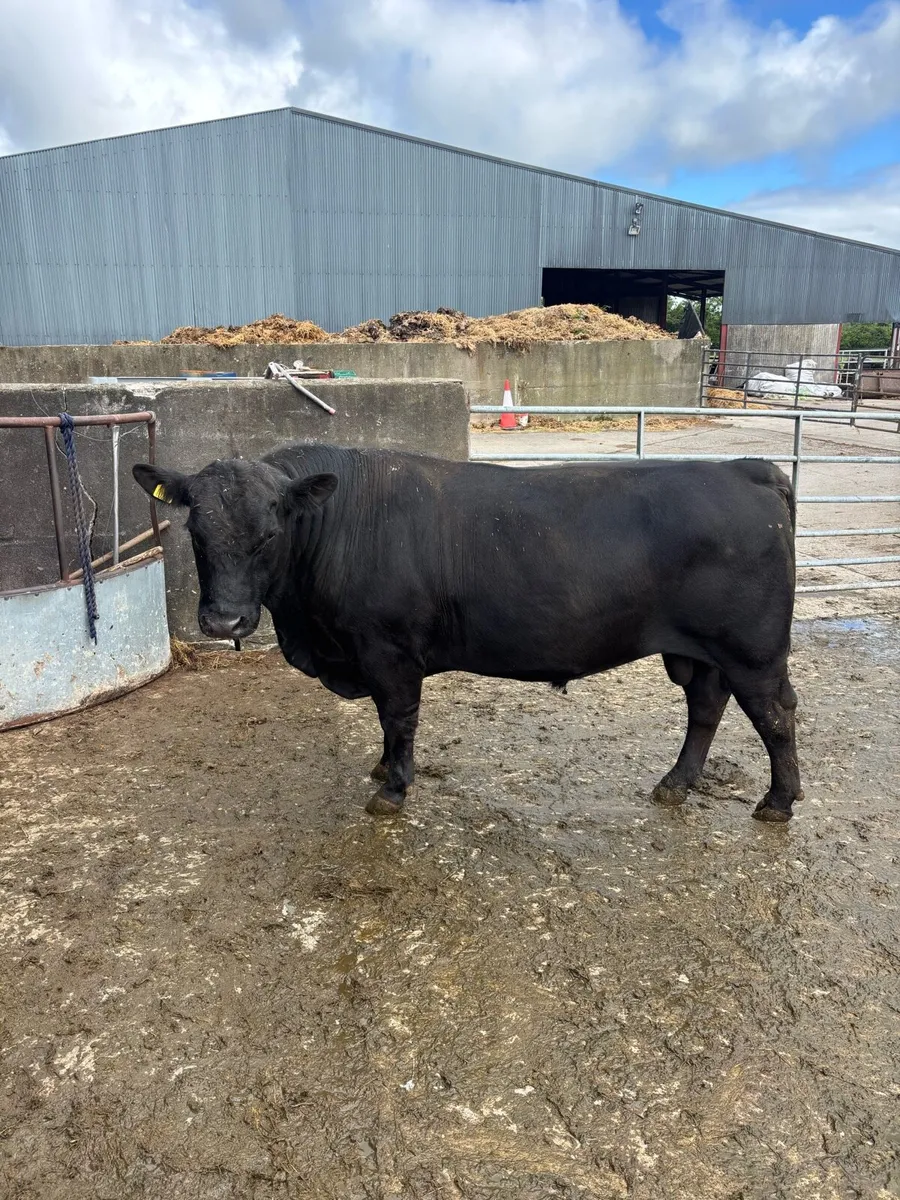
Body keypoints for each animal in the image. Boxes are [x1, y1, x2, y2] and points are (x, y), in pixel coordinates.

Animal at [133, 444, 803, 823]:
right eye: (195, 531)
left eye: (270, 534)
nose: (224, 621)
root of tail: (746, 470)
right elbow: (386, 722)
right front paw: (381, 769)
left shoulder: (388, 650)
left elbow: (398, 716)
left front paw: (392, 789)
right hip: (701, 652)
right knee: (706, 707)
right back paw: (676, 784)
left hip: (754, 652)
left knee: (775, 717)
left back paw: (778, 802)